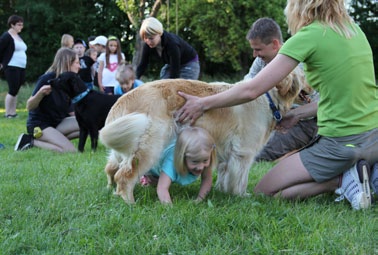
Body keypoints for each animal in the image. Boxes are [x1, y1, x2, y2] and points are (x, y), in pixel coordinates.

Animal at [99, 67, 306, 203]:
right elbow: (240, 180)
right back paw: (130, 202)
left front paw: (223, 192)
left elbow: (224, 176)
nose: (312, 85)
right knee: (124, 175)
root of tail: (121, 100)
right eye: (304, 75)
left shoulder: (227, 155)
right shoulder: (243, 153)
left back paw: (110, 190)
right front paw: (241, 196)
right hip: (151, 146)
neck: (269, 98)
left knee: (111, 168)